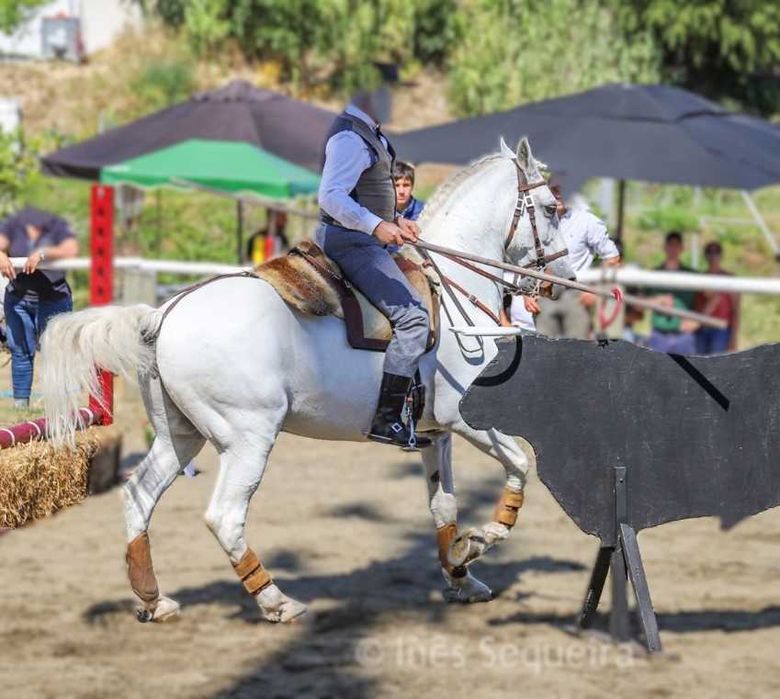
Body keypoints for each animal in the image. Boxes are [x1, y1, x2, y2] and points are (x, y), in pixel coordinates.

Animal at [40, 137, 574, 623]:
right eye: (552, 209)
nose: (562, 277)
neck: (450, 285)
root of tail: (163, 313)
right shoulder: (463, 420)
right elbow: (520, 464)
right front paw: (482, 540)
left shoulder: (434, 433)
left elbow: (443, 507)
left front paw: (461, 574)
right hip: (248, 438)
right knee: (225, 517)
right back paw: (276, 601)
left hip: (181, 436)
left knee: (139, 497)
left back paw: (155, 599)